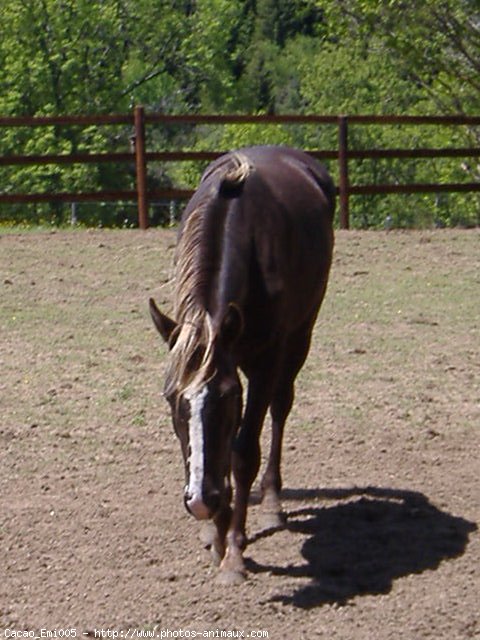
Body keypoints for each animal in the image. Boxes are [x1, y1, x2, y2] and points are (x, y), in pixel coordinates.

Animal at [150, 146, 334, 584]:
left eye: (228, 396)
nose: (201, 499)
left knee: (280, 408)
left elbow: (243, 450)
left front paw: (232, 551)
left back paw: (271, 503)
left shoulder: (266, 361)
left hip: (299, 337)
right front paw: (214, 532)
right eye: (170, 399)